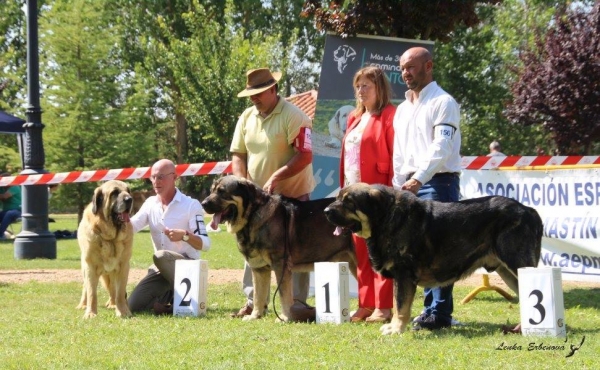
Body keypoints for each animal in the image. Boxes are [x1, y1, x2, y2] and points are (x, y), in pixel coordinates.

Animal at [202, 175, 356, 322]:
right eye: (212, 190)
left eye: (222, 192)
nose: (203, 203)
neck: (252, 216)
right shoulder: (259, 269)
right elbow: (258, 296)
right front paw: (255, 316)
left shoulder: (280, 265)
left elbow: (284, 295)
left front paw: (285, 317)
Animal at [326, 182, 540, 336]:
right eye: (338, 198)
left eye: (349, 202)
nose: (326, 211)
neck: (385, 218)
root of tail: (528, 210)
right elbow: (398, 304)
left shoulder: (403, 275)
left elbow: (400, 305)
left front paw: (396, 329)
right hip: (508, 271)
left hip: (517, 264)